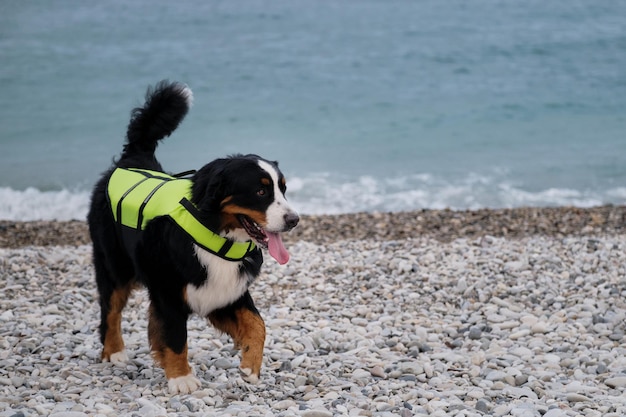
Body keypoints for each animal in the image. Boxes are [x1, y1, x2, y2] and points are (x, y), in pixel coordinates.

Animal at [86, 80, 298, 394]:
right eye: (261, 191)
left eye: (283, 189)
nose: (294, 220)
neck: (217, 234)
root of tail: (133, 159)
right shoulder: (171, 292)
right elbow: (176, 336)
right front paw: (181, 378)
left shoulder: (224, 291)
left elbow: (257, 324)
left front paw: (250, 366)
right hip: (114, 265)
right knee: (110, 310)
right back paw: (114, 352)